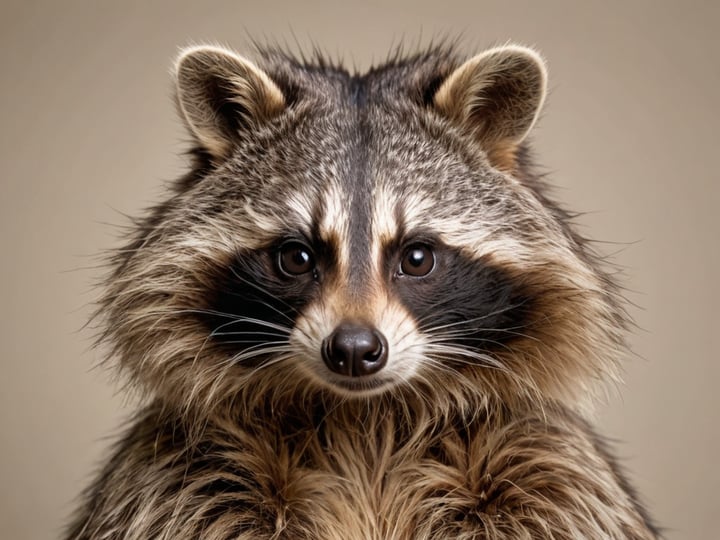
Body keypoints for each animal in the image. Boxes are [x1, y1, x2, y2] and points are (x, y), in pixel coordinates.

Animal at [66, 42, 659, 539]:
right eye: (296, 257)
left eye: (417, 257)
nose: (353, 350)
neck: (366, 421)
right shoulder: (183, 476)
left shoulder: (548, 469)